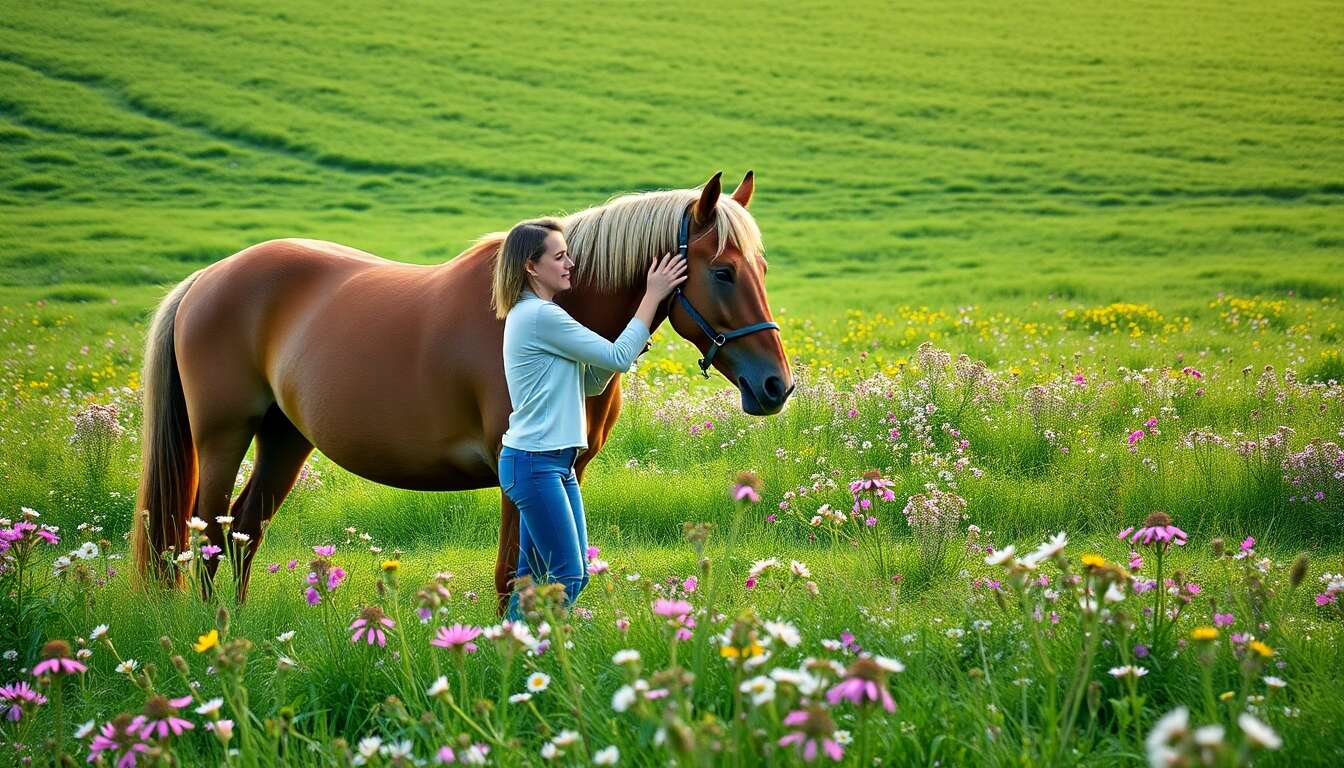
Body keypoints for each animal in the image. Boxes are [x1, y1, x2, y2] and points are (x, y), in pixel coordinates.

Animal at [131, 170, 794, 613]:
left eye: (762, 269)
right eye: (723, 271)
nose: (776, 386)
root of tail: (208, 278)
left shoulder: (567, 471)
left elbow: (549, 576)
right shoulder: (517, 472)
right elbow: (513, 576)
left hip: (285, 438)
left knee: (244, 530)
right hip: (223, 437)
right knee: (207, 534)